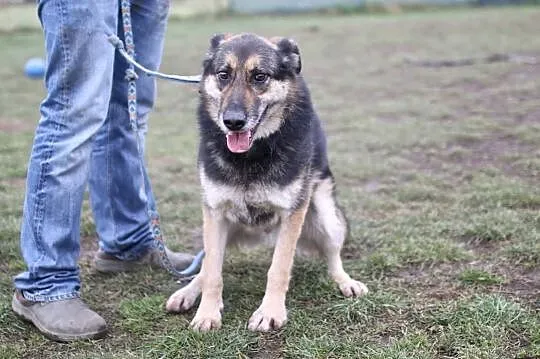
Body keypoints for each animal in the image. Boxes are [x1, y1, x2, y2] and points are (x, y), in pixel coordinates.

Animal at [165, 32, 368, 334]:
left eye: (260, 76)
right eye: (223, 75)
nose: (233, 122)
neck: (251, 155)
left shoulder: (292, 214)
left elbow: (279, 267)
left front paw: (270, 312)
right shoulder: (214, 213)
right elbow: (213, 272)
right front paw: (207, 313)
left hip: (327, 216)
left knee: (333, 256)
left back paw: (345, 282)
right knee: (206, 265)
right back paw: (187, 292)